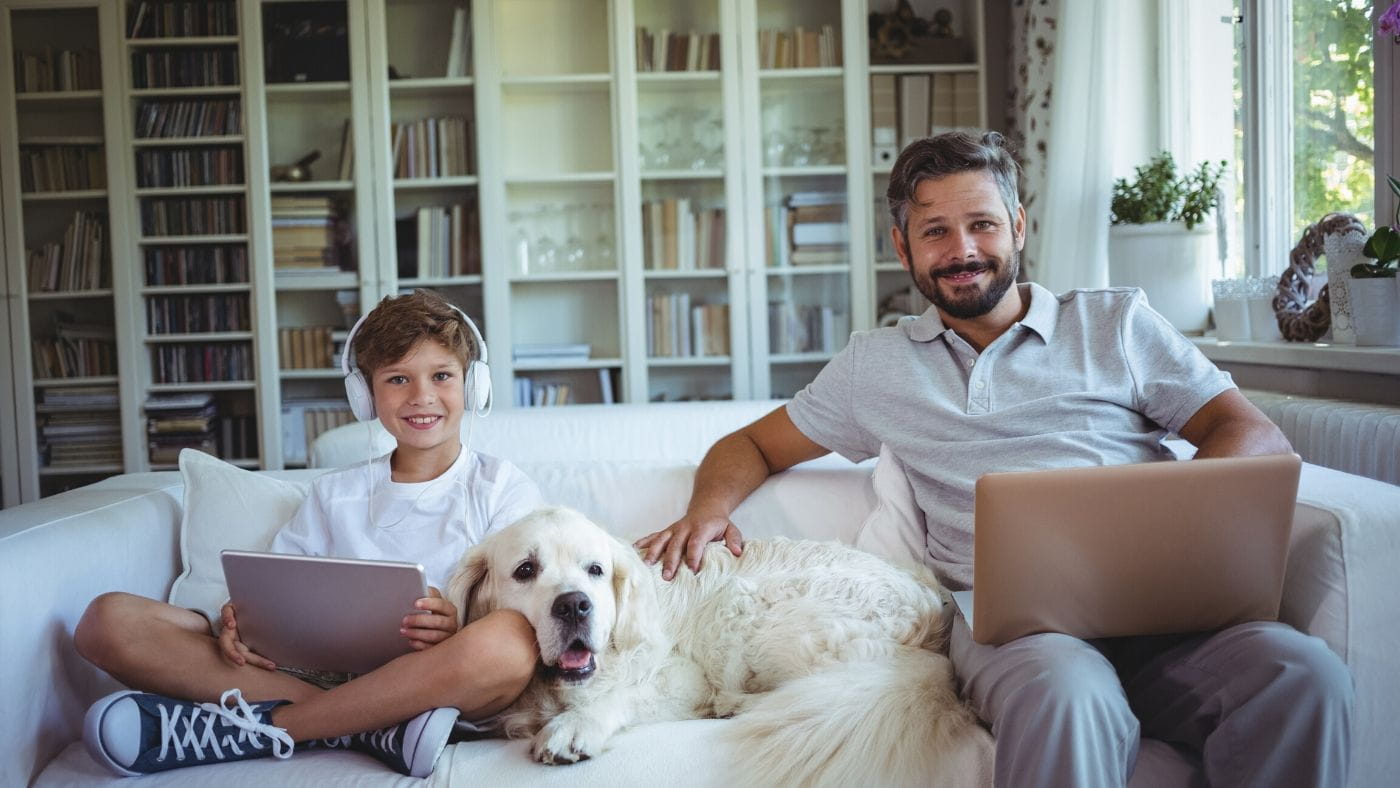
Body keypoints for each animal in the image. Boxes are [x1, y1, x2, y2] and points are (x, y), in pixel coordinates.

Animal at [445, 509, 985, 783]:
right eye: (525, 570)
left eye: (595, 569)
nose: (576, 605)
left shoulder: (682, 677)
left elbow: (619, 695)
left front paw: (575, 726)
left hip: (744, 604)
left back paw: (735, 706)